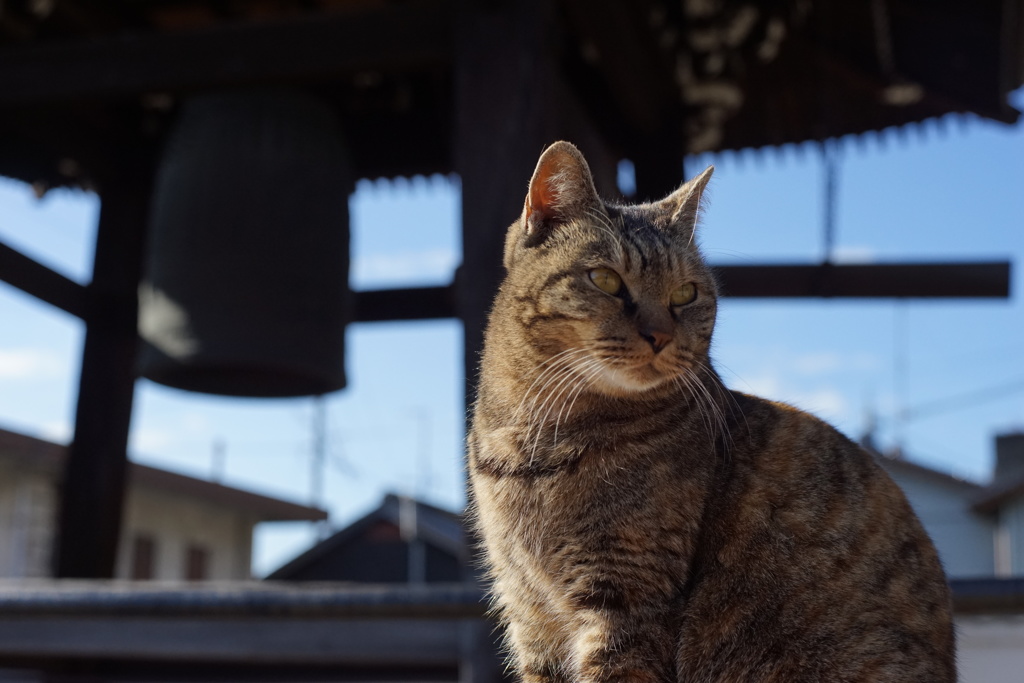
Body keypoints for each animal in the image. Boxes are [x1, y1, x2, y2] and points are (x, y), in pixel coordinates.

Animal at [468, 141, 954, 679]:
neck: (534, 440)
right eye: (606, 280)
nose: (660, 335)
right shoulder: (530, 612)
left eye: (685, 294)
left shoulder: (628, 599)